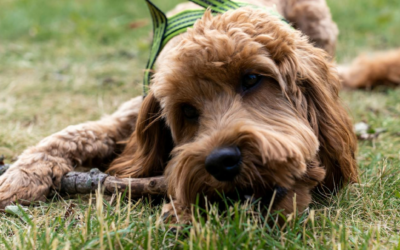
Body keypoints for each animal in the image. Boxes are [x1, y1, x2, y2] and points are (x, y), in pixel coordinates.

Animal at [0, 0, 358, 223]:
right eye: (187, 110)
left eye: (251, 79)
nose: (221, 161)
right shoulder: (135, 110)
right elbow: (73, 134)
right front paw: (20, 176)